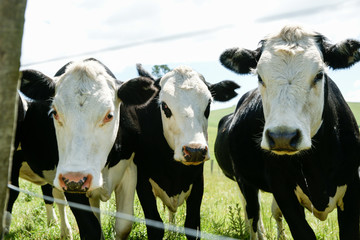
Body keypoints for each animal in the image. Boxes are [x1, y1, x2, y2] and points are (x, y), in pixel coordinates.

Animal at [5, 58, 158, 240]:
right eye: (54, 112)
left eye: (109, 115)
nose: (75, 178)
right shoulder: (69, 182)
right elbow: (91, 229)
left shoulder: (129, 170)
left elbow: (123, 225)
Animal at [119, 64, 239, 240]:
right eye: (164, 106)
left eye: (209, 104)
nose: (194, 150)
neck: (175, 171)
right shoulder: (142, 182)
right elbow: (155, 226)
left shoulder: (198, 182)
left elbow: (192, 226)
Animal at [215, 24, 358, 240]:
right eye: (259, 76)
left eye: (319, 74)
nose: (282, 137)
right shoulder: (282, 189)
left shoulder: (353, 188)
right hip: (244, 181)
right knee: (253, 215)